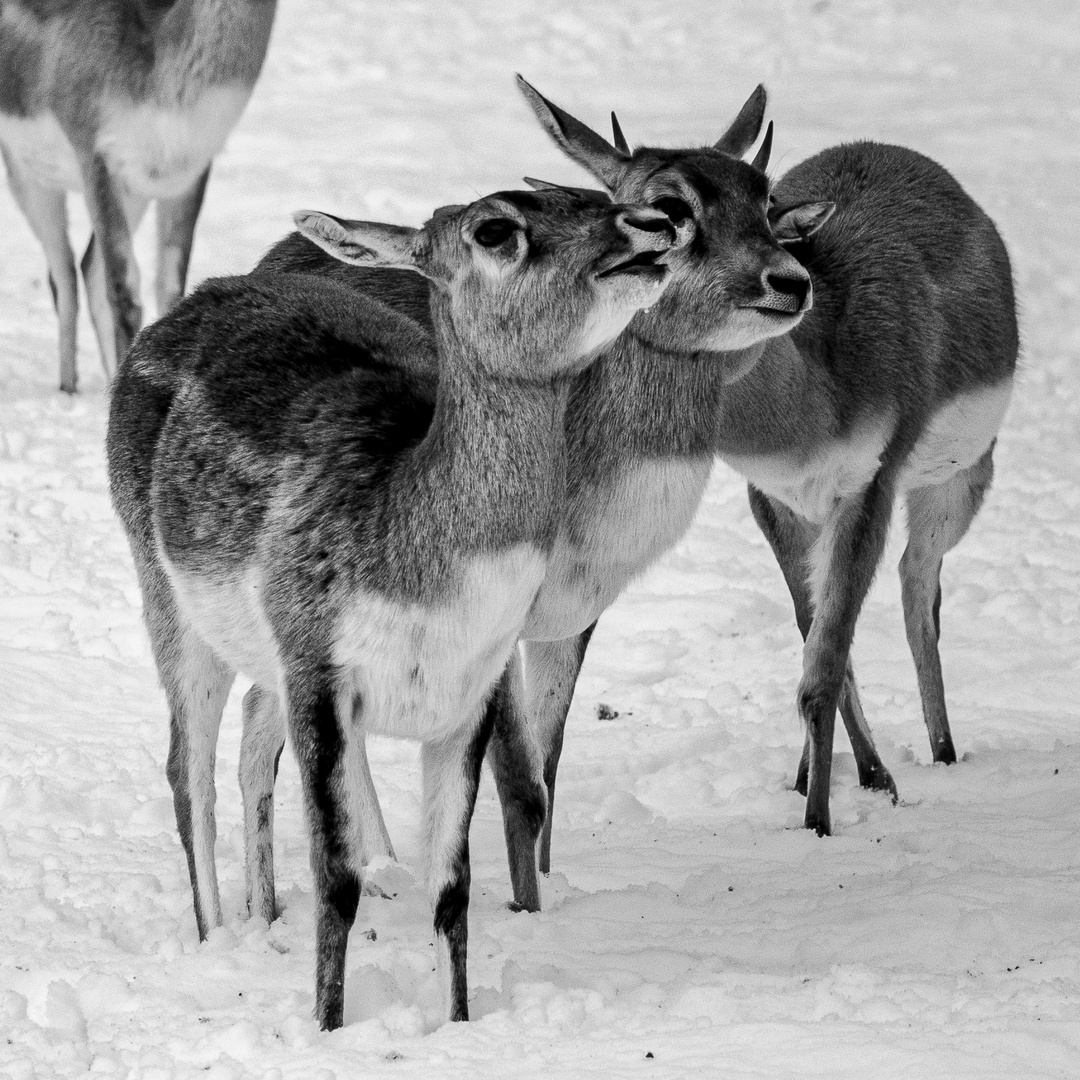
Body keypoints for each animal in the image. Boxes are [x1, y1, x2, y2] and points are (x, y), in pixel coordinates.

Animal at [0, 0, 276, 388]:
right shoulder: (97, 160)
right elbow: (123, 290)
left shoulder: (186, 177)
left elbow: (171, 286)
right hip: (29, 179)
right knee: (64, 276)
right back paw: (68, 389)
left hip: (133, 197)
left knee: (85, 267)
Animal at [103, 185, 673, 1028]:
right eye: (495, 228)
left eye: (590, 196)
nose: (654, 224)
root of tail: (186, 303)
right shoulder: (320, 669)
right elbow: (338, 879)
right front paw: (327, 1026)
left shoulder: (468, 695)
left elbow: (453, 889)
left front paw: (457, 1021)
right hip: (164, 592)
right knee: (186, 766)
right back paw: (214, 935)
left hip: (263, 652)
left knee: (250, 736)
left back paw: (265, 916)